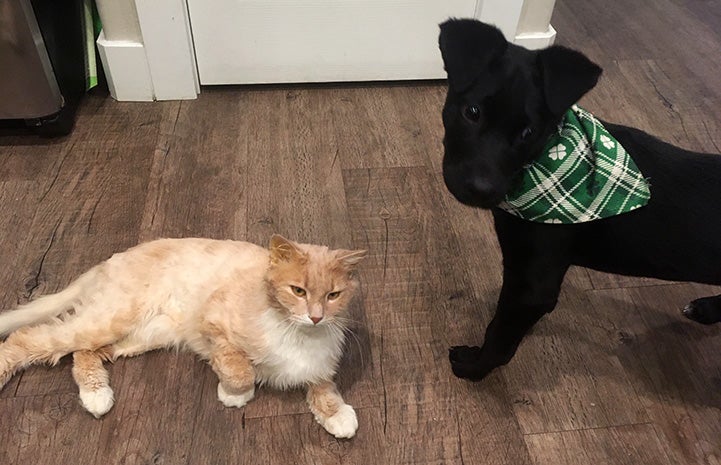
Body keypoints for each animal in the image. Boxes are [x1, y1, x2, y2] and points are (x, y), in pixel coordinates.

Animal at [0, 237, 366, 436]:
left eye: (333, 295)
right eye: (298, 290)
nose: (316, 317)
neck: (297, 332)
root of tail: (109, 261)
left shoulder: (318, 365)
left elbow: (324, 388)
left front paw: (338, 416)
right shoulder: (211, 322)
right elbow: (239, 368)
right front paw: (235, 395)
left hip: (138, 336)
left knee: (83, 353)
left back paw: (97, 395)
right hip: (111, 319)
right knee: (28, 339)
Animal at [438, 18, 720, 380]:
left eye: (528, 133)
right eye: (471, 112)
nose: (481, 189)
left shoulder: (533, 286)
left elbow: (500, 337)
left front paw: (474, 367)